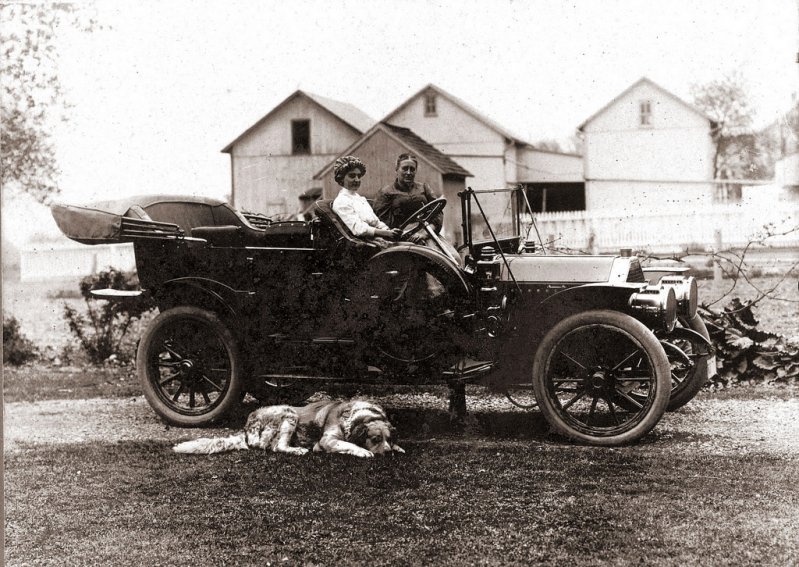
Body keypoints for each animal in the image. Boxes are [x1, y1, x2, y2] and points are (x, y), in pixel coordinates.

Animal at [173, 400, 404, 458]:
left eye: (388, 438)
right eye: (375, 439)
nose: (388, 453)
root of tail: (247, 426)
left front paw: (398, 448)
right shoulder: (326, 440)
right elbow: (349, 444)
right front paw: (363, 451)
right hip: (289, 413)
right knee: (278, 447)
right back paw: (297, 450)